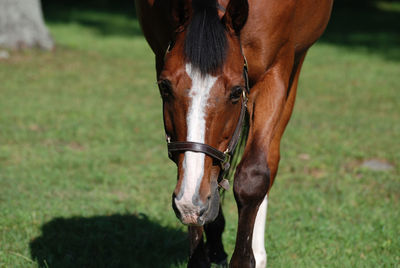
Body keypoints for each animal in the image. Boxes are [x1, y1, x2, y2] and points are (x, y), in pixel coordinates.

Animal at [136, 0, 332, 266]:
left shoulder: (276, 72)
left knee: (269, 160)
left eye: (236, 92)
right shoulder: (161, 55)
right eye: (165, 87)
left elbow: (254, 177)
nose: (190, 203)